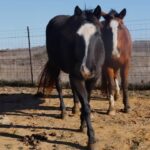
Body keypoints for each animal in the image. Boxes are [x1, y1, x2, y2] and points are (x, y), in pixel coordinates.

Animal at [37, 5, 104, 149]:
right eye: (76, 35)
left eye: (97, 34)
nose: (86, 69)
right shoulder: (77, 77)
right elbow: (86, 107)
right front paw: (91, 139)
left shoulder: (93, 79)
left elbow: (87, 102)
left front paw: (82, 125)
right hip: (55, 65)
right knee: (59, 87)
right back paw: (63, 112)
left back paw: (74, 108)